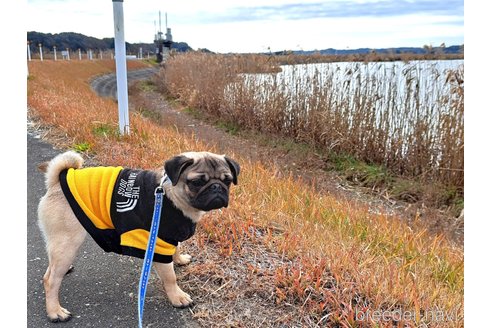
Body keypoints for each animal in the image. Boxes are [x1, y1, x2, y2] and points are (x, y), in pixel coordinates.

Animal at [37, 151, 240, 322]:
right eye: (196, 182)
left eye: (228, 181)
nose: (217, 187)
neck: (170, 196)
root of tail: (56, 183)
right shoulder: (158, 243)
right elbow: (170, 277)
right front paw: (178, 297)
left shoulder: (171, 236)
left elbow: (177, 249)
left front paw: (180, 259)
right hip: (68, 241)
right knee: (50, 280)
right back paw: (55, 311)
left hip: (60, 243)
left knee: (51, 263)